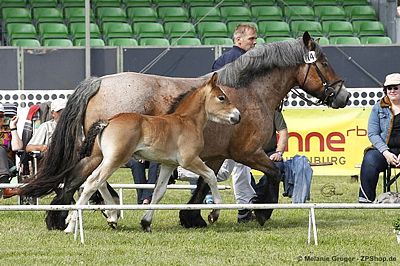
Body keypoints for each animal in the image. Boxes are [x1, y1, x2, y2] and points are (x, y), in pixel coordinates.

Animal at [61, 73, 238, 233]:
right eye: (221, 97)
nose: (237, 116)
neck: (187, 121)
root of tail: (108, 122)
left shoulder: (168, 164)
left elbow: (158, 192)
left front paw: (146, 222)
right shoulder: (189, 160)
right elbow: (210, 176)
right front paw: (215, 212)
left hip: (103, 158)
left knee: (97, 182)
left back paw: (102, 217)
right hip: (115, 159)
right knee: (92, 182)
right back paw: (72, 225)